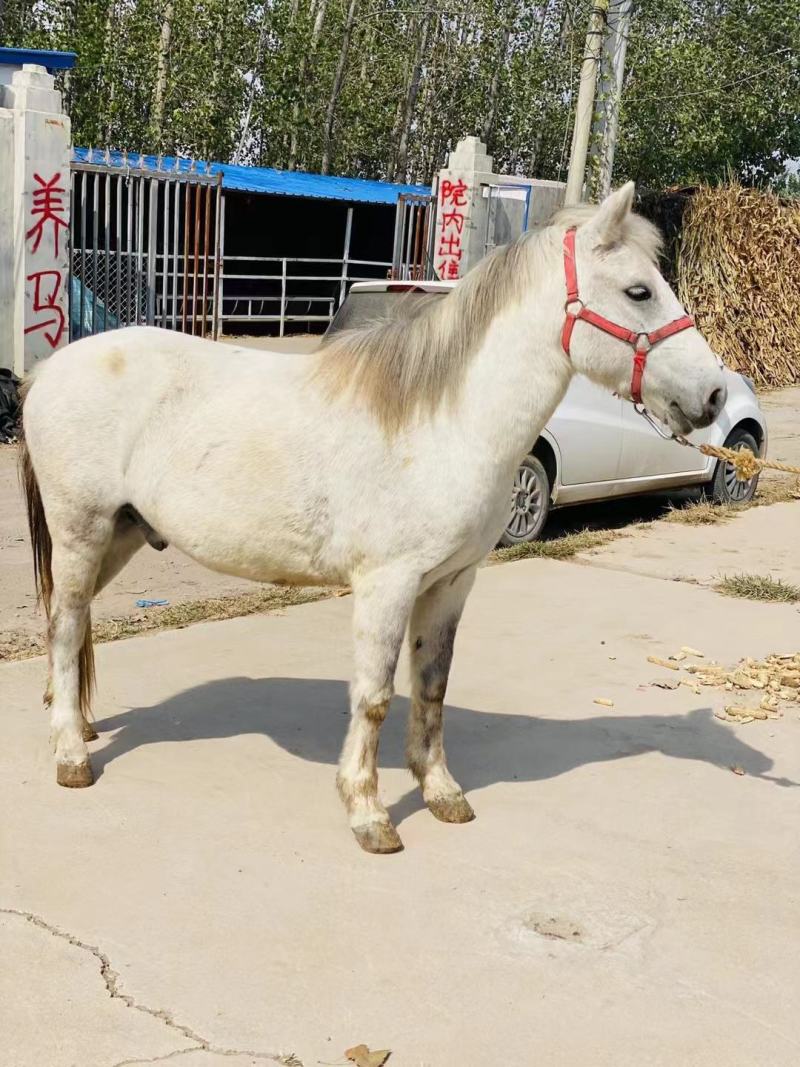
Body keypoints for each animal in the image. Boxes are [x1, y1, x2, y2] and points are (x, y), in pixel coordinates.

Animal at [19, 182, 726, 853]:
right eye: (639, 291)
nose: (715, 393)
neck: (445, 421)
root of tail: (48, 370)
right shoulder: (387, 585)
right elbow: (376, 696)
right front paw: (368, 813)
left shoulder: (452, 583)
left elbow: (433, 686)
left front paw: (441, 792)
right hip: (81, 531)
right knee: (63, 627)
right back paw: (71, 755)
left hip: (121, 535)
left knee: (73, 626)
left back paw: (76, 722)